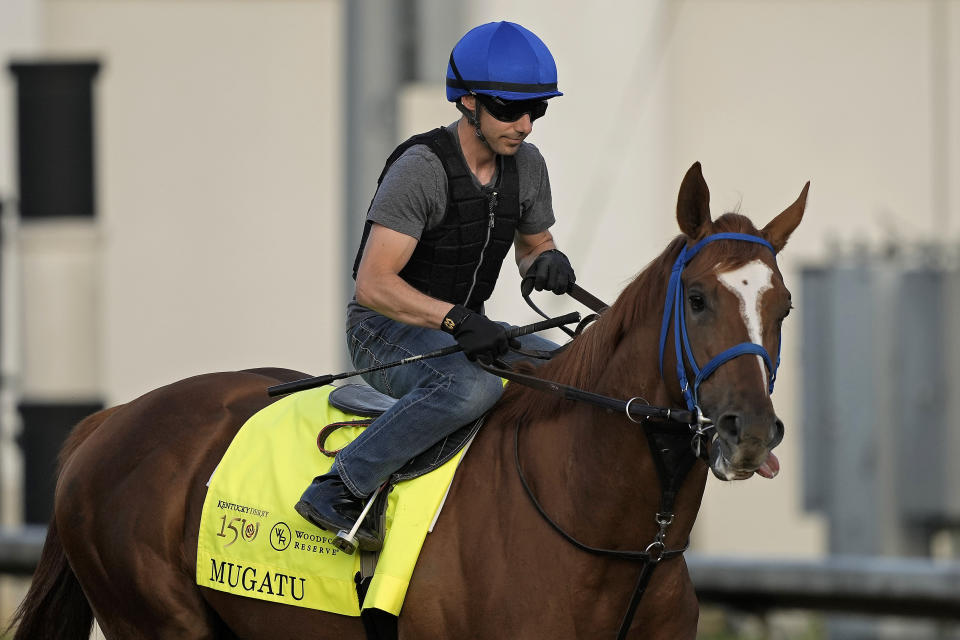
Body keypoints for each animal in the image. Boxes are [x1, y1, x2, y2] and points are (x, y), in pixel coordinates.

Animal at [9, 162, 808, 636]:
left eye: (784, 305)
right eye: (698, 298)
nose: (748, 431)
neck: (613, 540)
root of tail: (108, 424)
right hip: (157, 618)